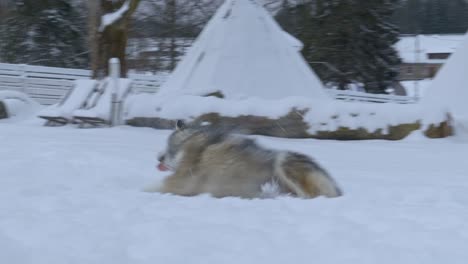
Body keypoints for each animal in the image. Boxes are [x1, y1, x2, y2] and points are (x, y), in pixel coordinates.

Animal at [148, 120, 342, 199]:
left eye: (169, 146)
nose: (158, 158)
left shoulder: (183, 180)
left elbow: (153, 187)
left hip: (282, 161)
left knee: (309, 195)